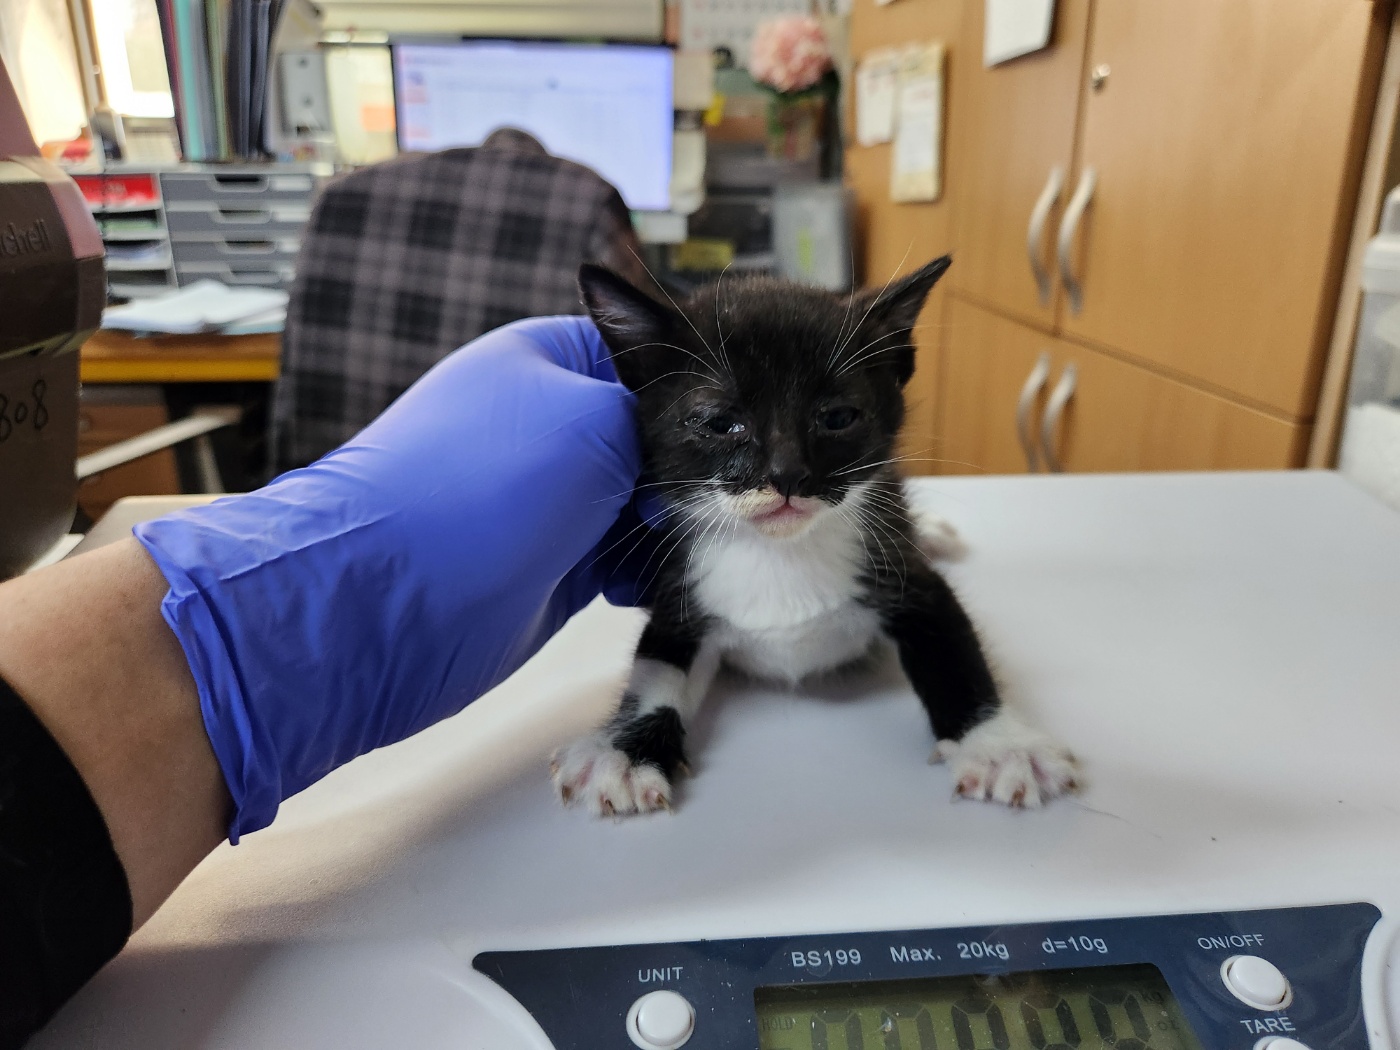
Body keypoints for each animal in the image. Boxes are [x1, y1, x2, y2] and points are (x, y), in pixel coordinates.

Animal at [546, 259, 1069, 817]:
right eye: (719, 423)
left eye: (837, 418)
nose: (788, 474)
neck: (779, 552)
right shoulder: (676, 585)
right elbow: (655, 670)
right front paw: (625, 753)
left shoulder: (907, 576)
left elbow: (953, 653)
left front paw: (1000, 746)